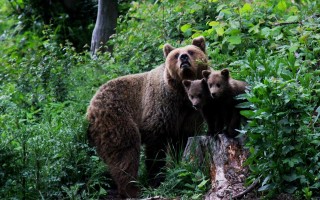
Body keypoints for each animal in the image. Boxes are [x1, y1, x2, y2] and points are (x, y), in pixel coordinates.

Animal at [86, 36, 209, 198]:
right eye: (176, 54)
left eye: (191, 51)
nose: (183, 58)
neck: (182, 94)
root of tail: (90, 106)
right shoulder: (161, 107)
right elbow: (155, 146)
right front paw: (157, 178)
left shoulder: (189, 113)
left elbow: (184, 138)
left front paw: (178, 163)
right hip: (115, 118)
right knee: (125, 152)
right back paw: (133, 189)